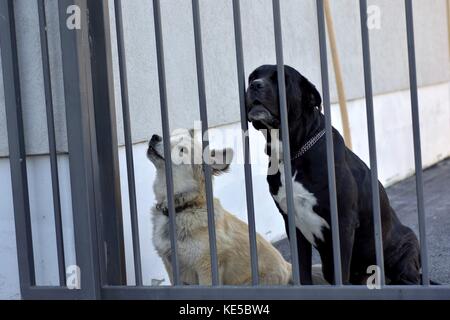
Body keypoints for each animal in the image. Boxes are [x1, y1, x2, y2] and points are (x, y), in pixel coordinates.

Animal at [246, 63, 422, 284]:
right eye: (252, 77)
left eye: (281, 79)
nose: (255, 85)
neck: (293, 154)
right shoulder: (292, 224)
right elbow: (302, 271)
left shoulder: (343, 222)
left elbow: (341, 272)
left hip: (406, 248)